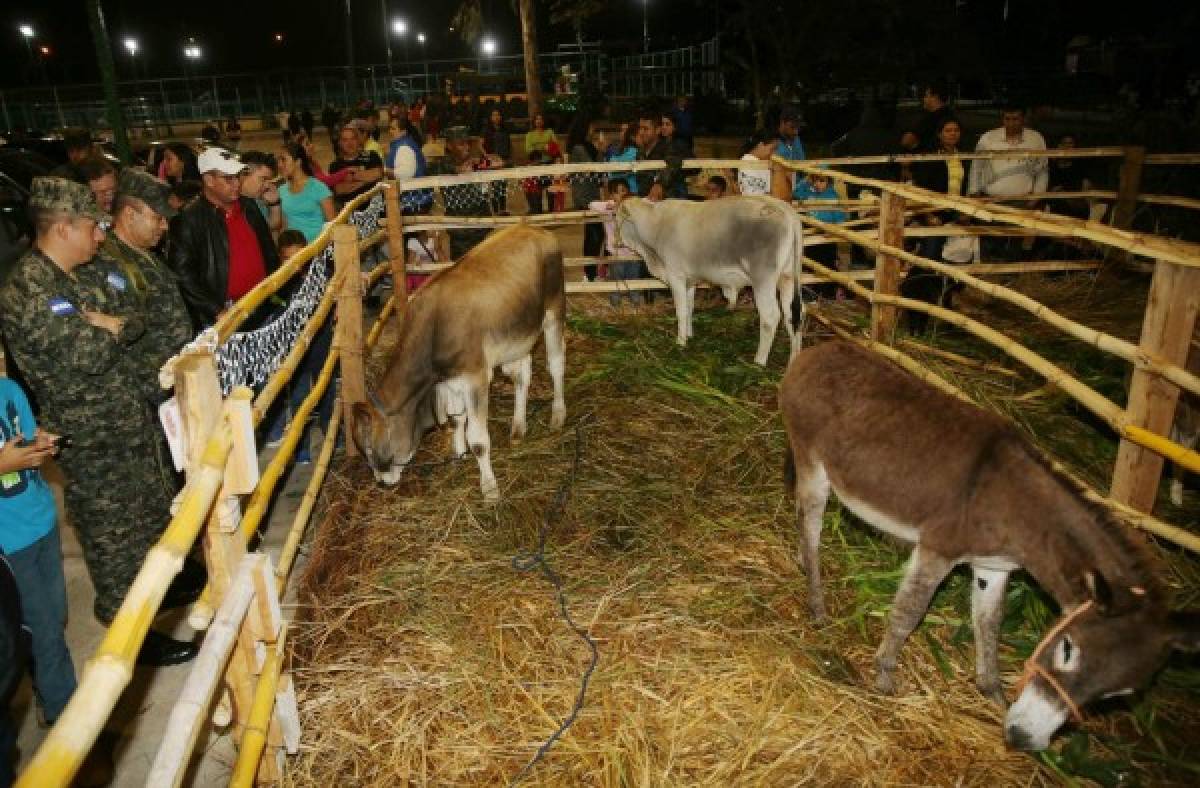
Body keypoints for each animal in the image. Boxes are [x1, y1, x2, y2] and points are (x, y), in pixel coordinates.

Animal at [350, 224, 566, 501]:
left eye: (369, 450)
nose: (381, 482)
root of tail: (533, 228)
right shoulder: (451, 380)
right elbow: (456, 419)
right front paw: (458, 452)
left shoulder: (475, 376)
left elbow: (479, 440)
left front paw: (490, 488)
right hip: (517, 333)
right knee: (521, 375)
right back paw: (518, 427)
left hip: (554, 311)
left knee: (556, 364)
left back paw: (558, 414)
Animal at [619, 195, 806, 364]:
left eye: (615, 215)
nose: (614, 242)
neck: (655, 225)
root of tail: (784, 209)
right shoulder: (690, 281)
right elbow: (690, 308)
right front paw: (689, 334)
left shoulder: (676, 276)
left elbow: (681, 311)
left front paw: (680, 342)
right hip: (787, 278)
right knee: (795, 313)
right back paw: (794, 358)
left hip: (763, 280)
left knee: (770, 317)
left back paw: (759, 361)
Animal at [782, 340, 1195, 748]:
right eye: (1067, 649)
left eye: (1116, 695)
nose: (1022, 739)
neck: (1015, 505)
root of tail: (819, 349)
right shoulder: (938, 549)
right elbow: (909, 612)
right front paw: (884, 675)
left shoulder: (992, 568)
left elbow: (989, 622)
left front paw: (991, 689)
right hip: (812, 462)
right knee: (811, 528)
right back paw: (817, 604)